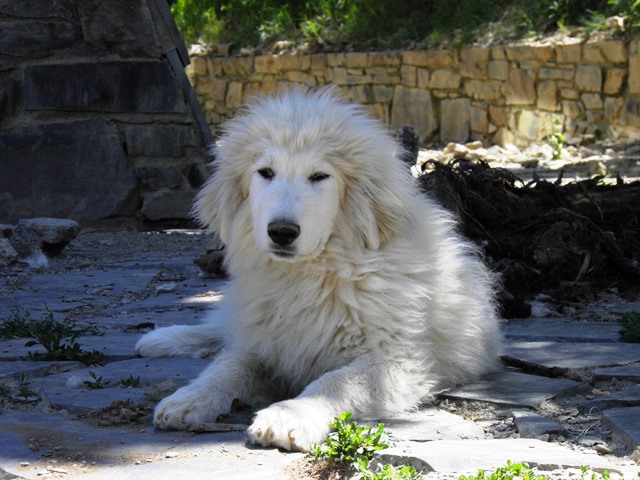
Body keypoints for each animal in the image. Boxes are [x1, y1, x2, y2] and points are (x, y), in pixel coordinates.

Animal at [136, 88, 504, 452]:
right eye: (266, 172)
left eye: (319, 176)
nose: (281, 231)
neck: (315, 274)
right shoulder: (268, 342)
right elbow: (228, 365)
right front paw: (191, 397)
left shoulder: (396, 360)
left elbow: (336, 382)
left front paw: (289, 415)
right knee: (221, 329)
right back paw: (161, 339)